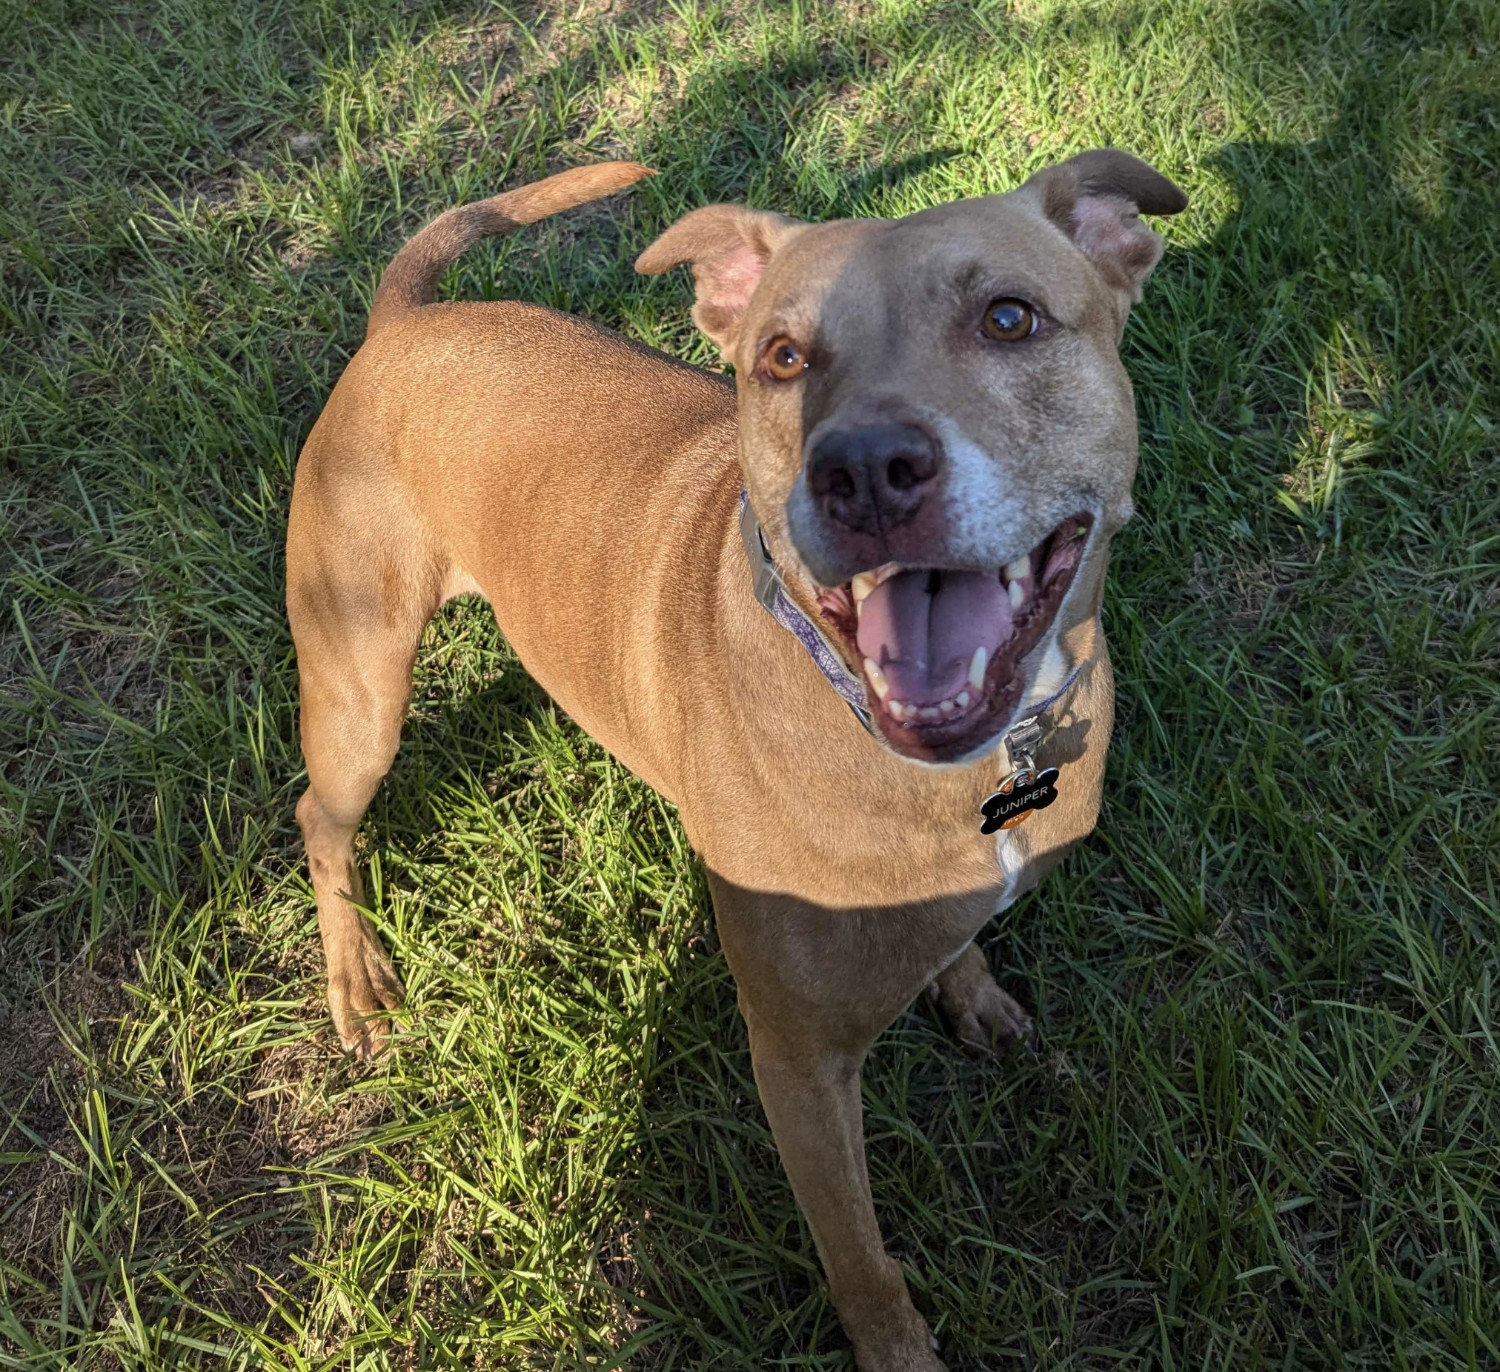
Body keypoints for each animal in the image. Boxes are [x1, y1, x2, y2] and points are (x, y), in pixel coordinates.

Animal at [286, 149, 1188, 1361]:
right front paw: (900, 1351)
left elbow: (958, 945)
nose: (864, 468)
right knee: (320, 821)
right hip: (359, 696)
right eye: (783, 357)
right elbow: (862, 1263)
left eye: (1010, 317)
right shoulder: (798, 1069)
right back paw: (358, 977)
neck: (958, 767)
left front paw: (973, 993)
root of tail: (404, 320)